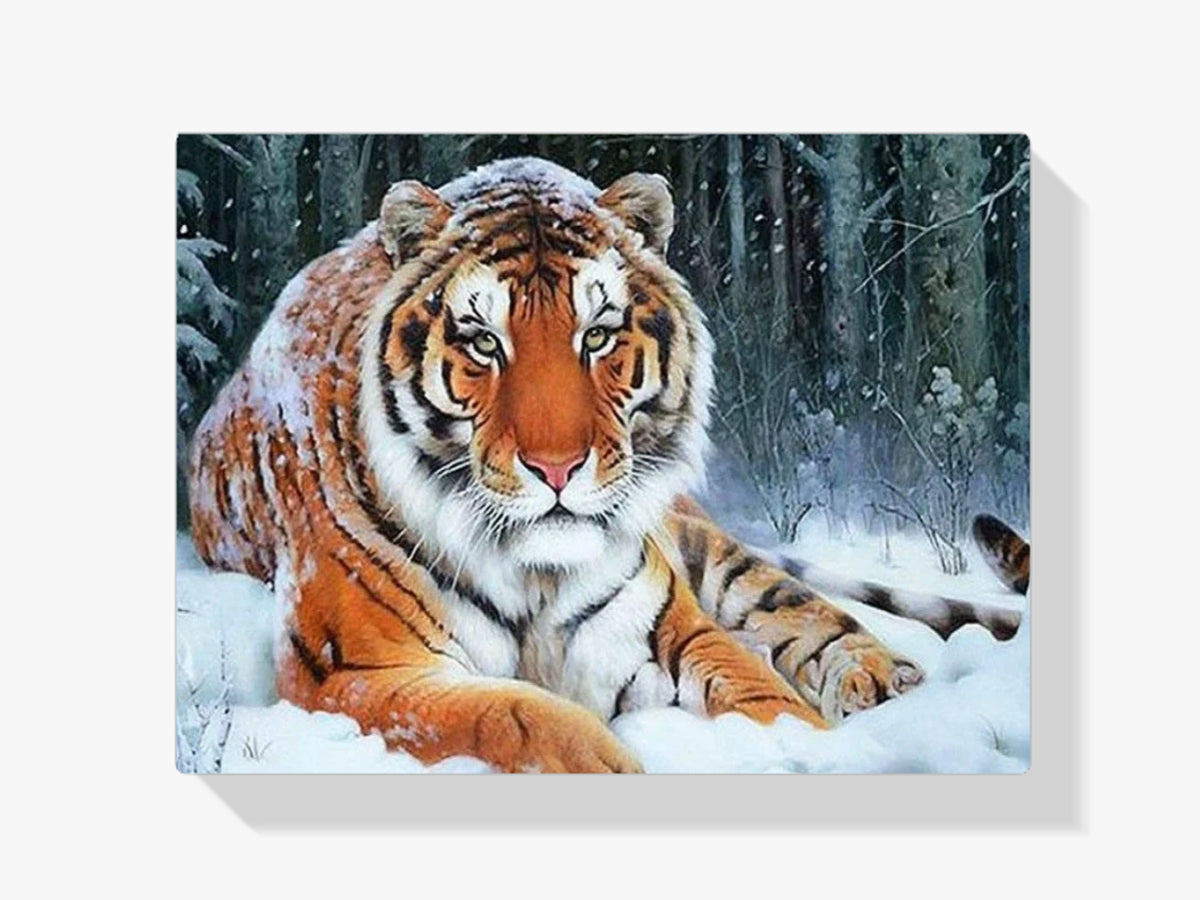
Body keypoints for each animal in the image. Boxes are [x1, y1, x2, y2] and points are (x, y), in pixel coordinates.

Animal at [189, 156, 1014, 773]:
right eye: (483, 341)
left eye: (598, 334)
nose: (557, 469)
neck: (531, 573)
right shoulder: (359, 673)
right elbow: (519, 718)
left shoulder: (665, 630)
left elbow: (761, 690)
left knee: (798, 606)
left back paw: (883, 683)